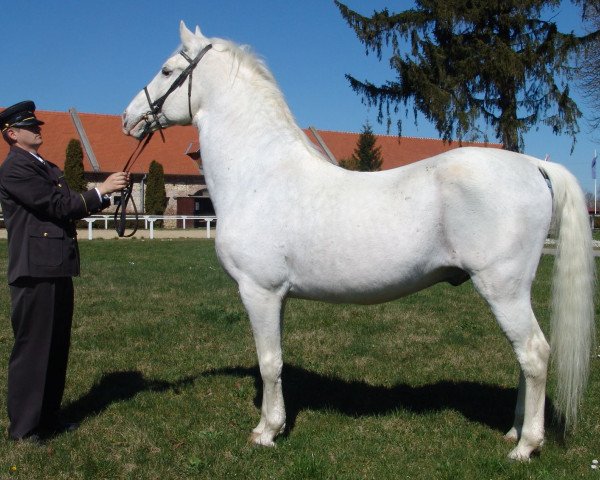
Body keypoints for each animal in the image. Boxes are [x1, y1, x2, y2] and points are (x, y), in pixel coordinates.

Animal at [123, 22, 596, 462]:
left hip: (502, 288)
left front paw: (266, 432)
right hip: (514, 291)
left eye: (167, 70)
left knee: (534, 354)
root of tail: (534, 165)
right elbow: (278, 360)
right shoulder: (278, 297)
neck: (260, 174)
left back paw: (527, 446)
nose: (129, 118)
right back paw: (514, 432)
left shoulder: (259, 291)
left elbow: (269, 363)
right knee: (524, 357)